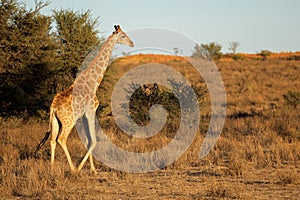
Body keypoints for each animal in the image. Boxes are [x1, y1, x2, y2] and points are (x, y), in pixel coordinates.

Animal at [35, 25, 134, 173]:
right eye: (123, 36)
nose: (132, 44)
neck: (93, 83)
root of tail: (54, 107)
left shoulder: (83, 115)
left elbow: (88, 141)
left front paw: (93, 169)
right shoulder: (91, 111)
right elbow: (93, 141)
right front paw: (81, 167)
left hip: (55, 121)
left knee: (52, 140)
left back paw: (52, 168)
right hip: (69, 121)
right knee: (61, 139)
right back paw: (73, 169)